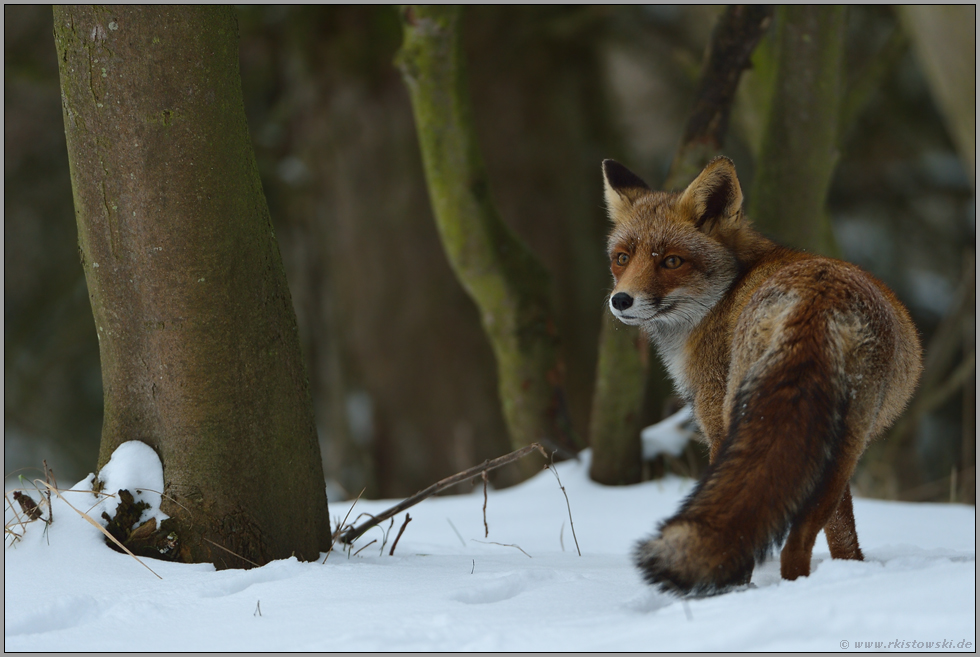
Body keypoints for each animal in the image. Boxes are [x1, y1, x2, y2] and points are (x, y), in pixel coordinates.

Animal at [602, 156, 923, 596]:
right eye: (621, 258)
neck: (724, 296)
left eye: (671, 261)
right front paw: (853, 568)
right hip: (844, 440)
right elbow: (842, 530)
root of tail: (817, 301)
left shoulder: (716, 422)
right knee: (805, 536)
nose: (621, 300)